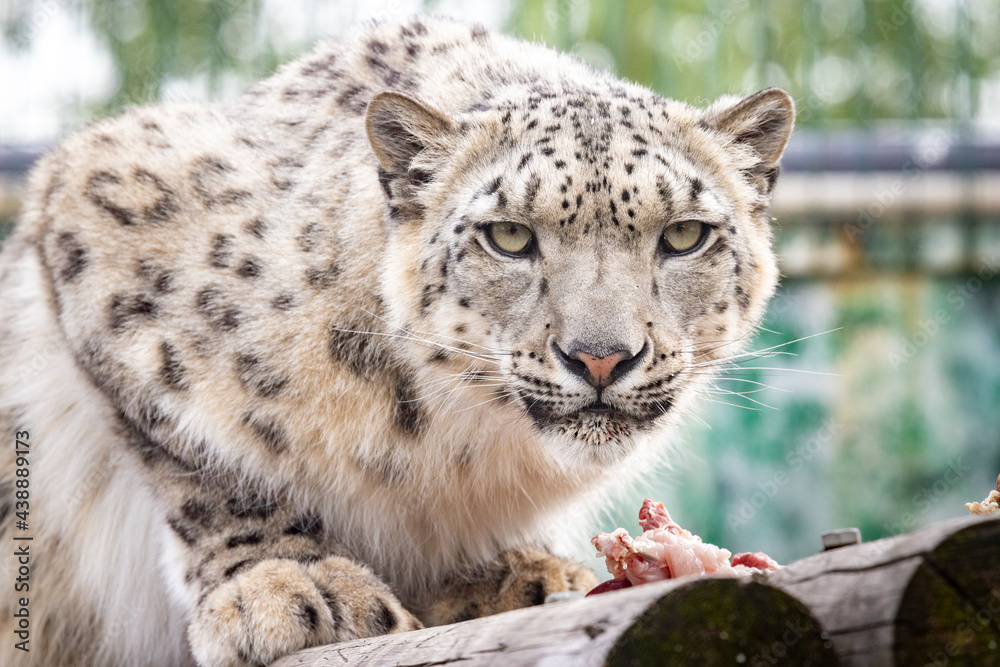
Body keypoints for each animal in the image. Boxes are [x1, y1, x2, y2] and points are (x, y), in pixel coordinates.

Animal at [0, 15, 793, 667]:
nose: (602, 356)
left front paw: (517, 574)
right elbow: (205, 466)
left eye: (684, 235)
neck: (455, 450)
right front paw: (294, 584)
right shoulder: (98, 231)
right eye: (509, 235)